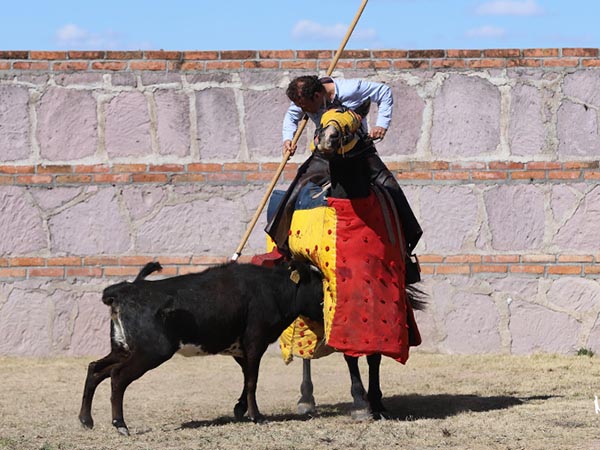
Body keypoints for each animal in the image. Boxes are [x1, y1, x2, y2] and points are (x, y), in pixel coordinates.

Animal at [268, 100, 426, 420]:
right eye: (321, 121)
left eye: (353, 124)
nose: (327, 141)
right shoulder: (337, 293)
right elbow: (349, 353)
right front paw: (360, 403)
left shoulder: (382, 291)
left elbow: (374, 354)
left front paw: (376, 400)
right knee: (304, 343)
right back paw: (306, 398)